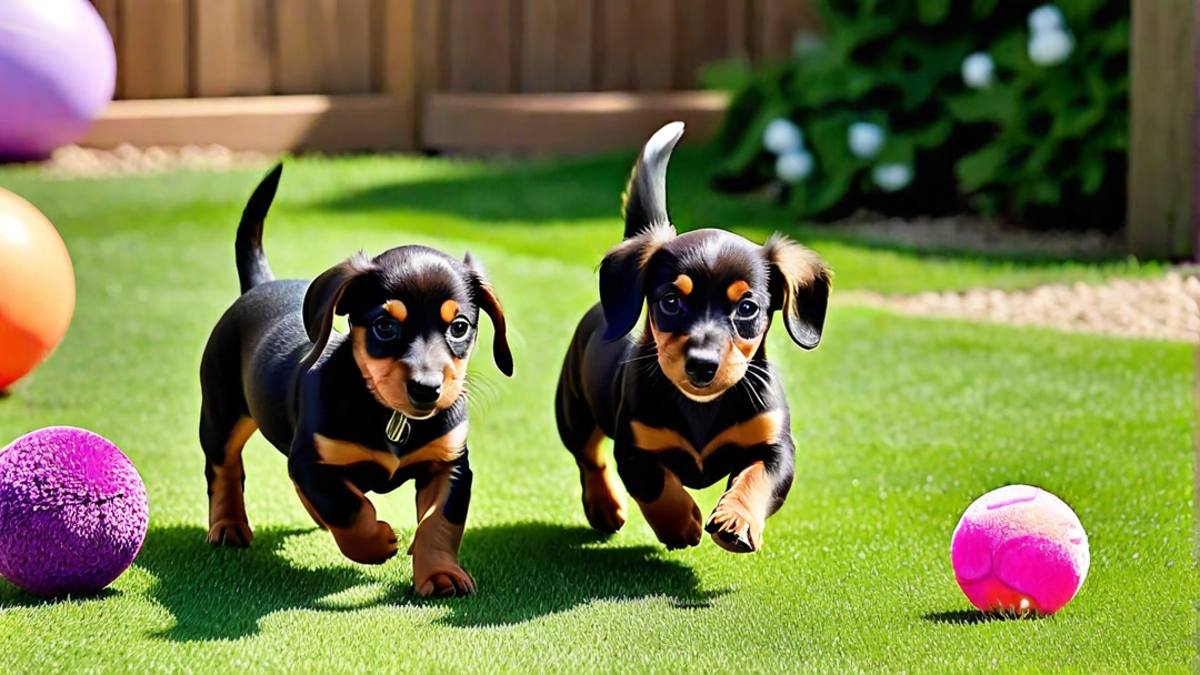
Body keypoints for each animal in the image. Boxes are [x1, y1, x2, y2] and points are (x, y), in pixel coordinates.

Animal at [195, 164, 511, 593]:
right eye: (384, 326)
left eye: (459, 327)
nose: (427, 390)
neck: (390, 416)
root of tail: (259, 286)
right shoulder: (312, 461)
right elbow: (346, 507)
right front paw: (375, 542)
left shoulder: (450, 464)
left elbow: (440, 522)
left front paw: (440, 572)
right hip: (220, 413)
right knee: (224, 468)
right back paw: (228, 525)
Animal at [554, 120, 830, 552]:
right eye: (670, 301)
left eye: (747, 308)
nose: (702, 365)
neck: (701, 408)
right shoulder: (634, 448)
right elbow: (655, 486)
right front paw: (680, 523)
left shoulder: (776, 447)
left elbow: (757, 478)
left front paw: (736, 520)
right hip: (573, 411)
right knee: (589, 458)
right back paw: (604, 506)